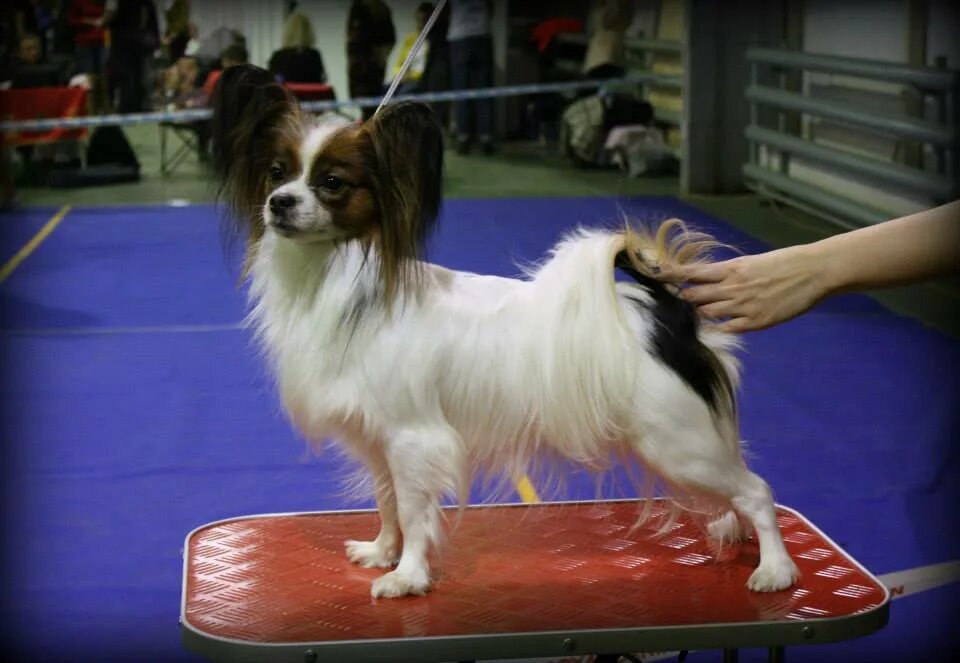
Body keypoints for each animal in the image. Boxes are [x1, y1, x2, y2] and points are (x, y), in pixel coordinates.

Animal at [214, 65, 800, 600]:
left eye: (332, 183)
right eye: (275, 173)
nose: (279, 202)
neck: (340, 279)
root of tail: (667, 311)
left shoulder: (413, 438)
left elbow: (413, 510)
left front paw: (408, 577)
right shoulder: (380, 441)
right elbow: (387, 502)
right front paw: (382, 552)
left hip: (678, 442)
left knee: (756, 490)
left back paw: (774, 569)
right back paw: (730, 531)